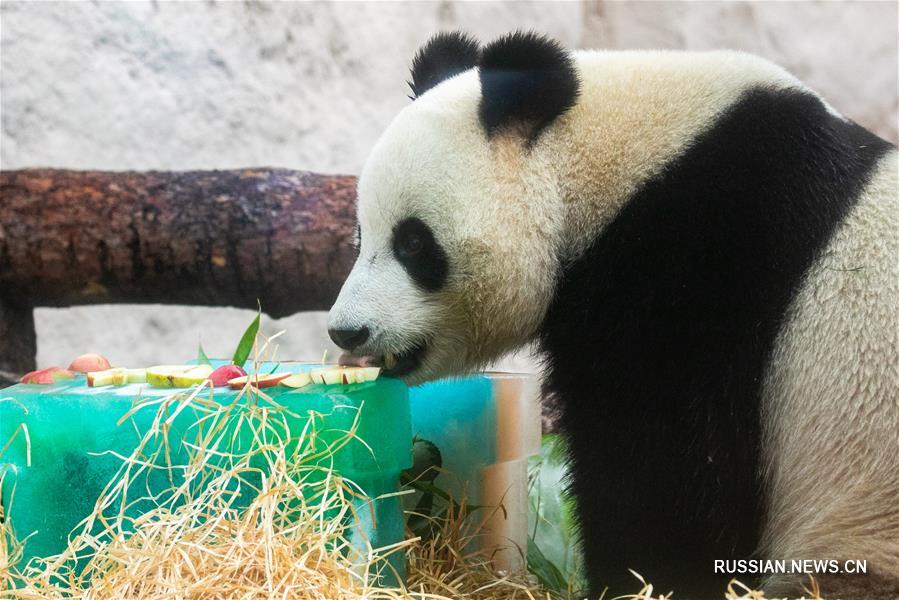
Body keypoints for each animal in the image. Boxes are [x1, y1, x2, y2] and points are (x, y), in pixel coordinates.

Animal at [326, 34, 896, 600]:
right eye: (360, 236)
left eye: (413, 243)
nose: (346, 330)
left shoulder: (699, 268)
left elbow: (663, 472)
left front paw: (638, 579)